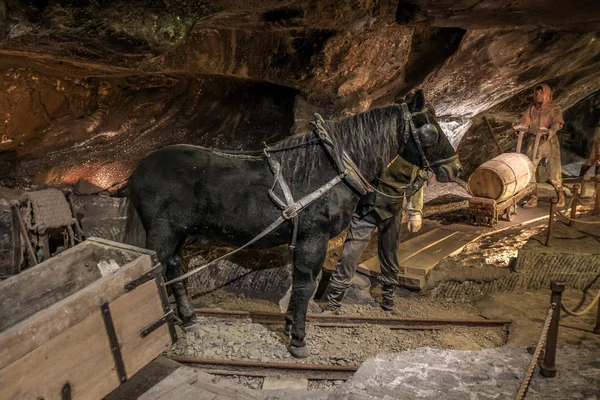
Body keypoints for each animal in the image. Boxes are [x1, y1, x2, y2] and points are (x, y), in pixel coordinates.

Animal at [120, 91, 460, 360]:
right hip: (164, 233)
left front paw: (289, 326)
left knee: (174, 270)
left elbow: (302, 284)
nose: (455, 169)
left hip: (179, 234)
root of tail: (138, 171)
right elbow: (305, 284)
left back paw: (189, 318)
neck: (329, 168)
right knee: (157, 272)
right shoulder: (314, 239)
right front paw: (298, 340)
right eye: (431, 129)